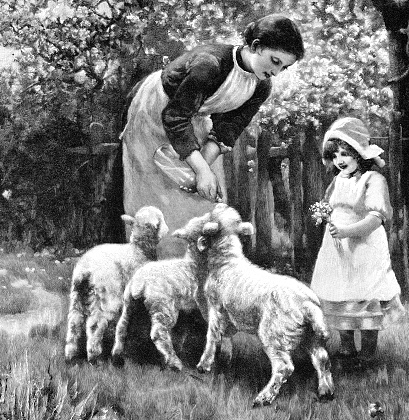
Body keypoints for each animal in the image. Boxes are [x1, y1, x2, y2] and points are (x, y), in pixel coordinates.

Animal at [64, 207, 167, 364]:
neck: (139, 249)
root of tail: (85, 271)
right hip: (106, 296)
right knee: (94, 324)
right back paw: (94, 357)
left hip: (77, 296)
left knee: (74, 322)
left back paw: (70, 356)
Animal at [111, 212, 214, 370]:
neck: (194, 264)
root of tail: (140, 283)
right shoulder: (202, 303)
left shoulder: (187, 312)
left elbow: (182, 333)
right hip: (163, 307)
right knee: (158, 333)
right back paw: (174, 363)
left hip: (129, 304)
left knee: (122, 327)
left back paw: (117, 355)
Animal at [196, 203, 334, 406]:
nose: (218, 203)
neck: (228, 261)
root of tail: (308, 304)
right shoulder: (229, 315)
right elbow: (225, 336)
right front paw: (225, 358)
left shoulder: (216, 309)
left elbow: (212, 337)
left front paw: (204, 365)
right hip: (312, 335)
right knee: (322, 360)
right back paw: (326, 392)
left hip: (274, 334)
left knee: (284, 367)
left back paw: (264, 398)